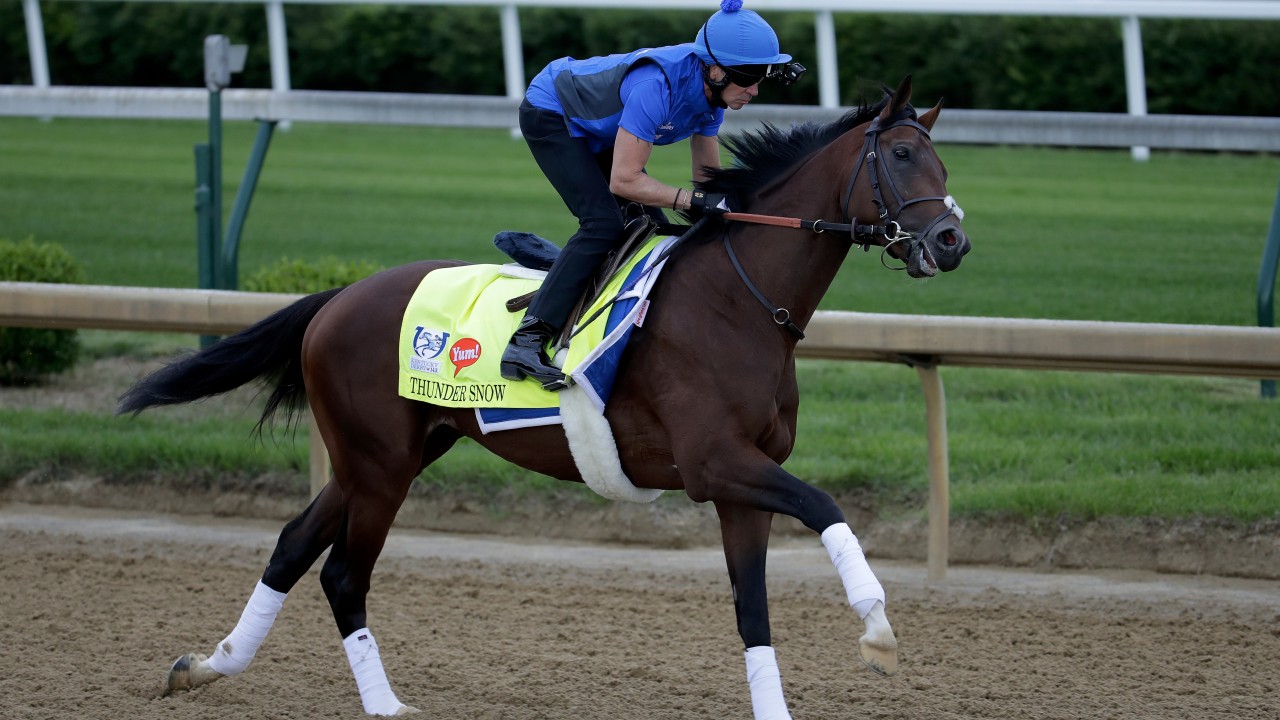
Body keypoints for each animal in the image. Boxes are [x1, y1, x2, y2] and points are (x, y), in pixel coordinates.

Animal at [119, 75, 970, 717]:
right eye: (901, 155)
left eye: (943, 165)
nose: (952, 240)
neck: (737, 302)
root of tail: (337, 298)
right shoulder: (715, 463)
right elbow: (826, 505)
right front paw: (878, 631)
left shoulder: (741, 485)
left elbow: (751, 608)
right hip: (380, 464)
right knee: (342, 574)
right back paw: (384, 705)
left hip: (390, 454)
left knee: (295, 545)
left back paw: (209, 665)